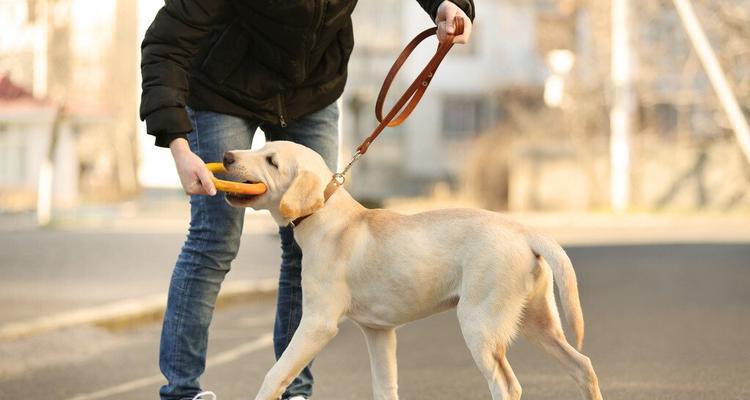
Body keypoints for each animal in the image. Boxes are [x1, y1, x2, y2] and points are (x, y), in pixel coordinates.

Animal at [220, 141, 604, 400]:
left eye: (271, 161)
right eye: (261, 148)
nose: (226, 157)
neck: (328, 216)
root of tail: (525, 231)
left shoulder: (318, 323)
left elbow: (274, 374)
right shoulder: (378, 332)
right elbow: (385, 387)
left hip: (480, 323)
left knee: (508, 385)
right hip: (537, 322)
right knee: (582, 365)